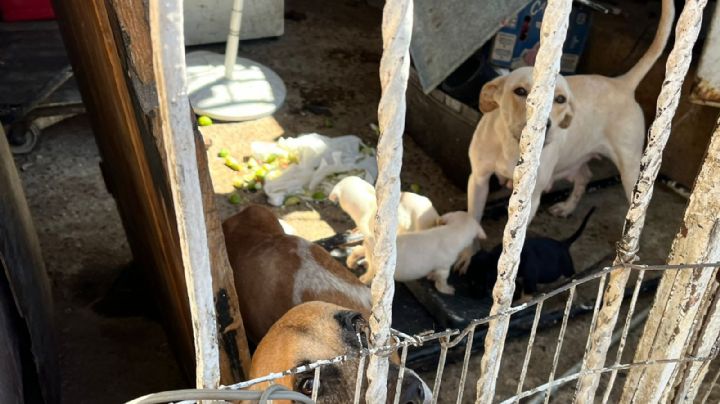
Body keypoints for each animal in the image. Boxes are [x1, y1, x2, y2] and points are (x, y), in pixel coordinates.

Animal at [352, 211, 486, 294]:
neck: (454, 229)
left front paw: (431, 276)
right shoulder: (444, 265)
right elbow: (442, 279)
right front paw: (450, 290)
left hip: (367, 251)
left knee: (358, 249)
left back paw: (352, 263)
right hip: (376, 269)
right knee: (365, 277)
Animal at [466, 208, 596, 296]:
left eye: (475, 283)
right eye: (470, 280)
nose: (470, 294)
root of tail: (563, 244)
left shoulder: (530, 280)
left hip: (567, 268)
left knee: (572, 278)